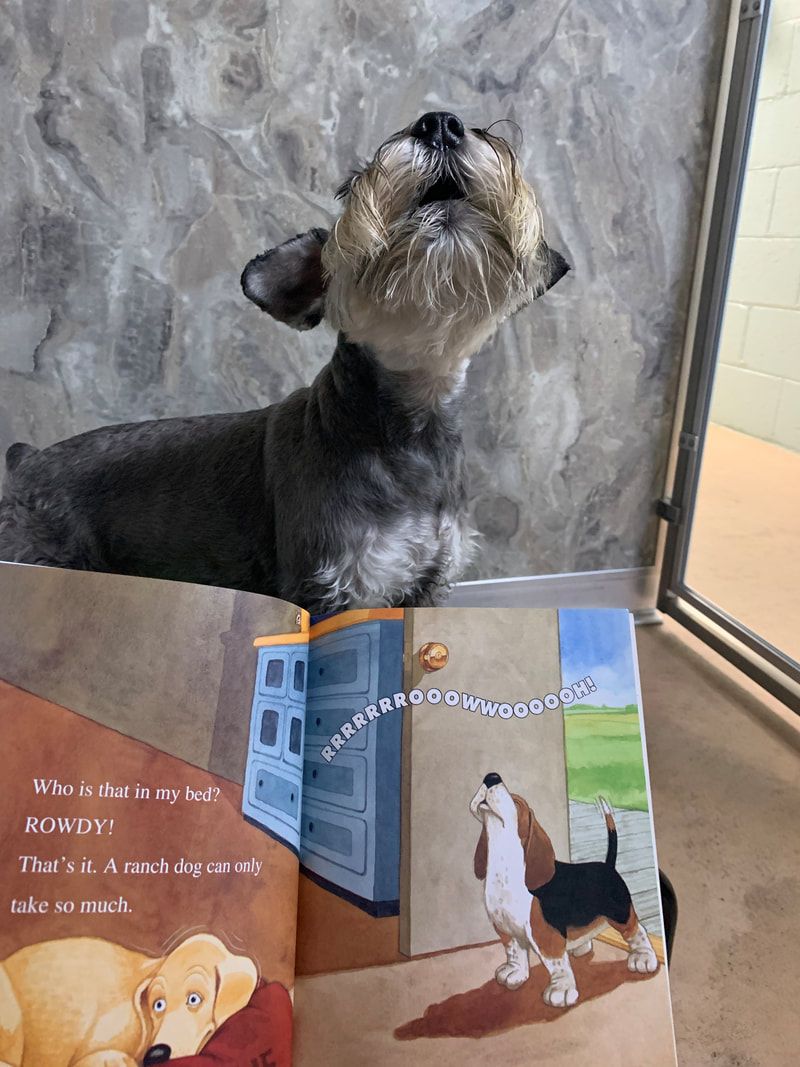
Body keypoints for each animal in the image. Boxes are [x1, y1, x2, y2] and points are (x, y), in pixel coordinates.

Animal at [0, 112, 571, 614]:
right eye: (349, 187)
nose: (440, 123)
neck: (408, 423)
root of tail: (25, 462)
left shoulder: (426, 582)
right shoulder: (336, 585)